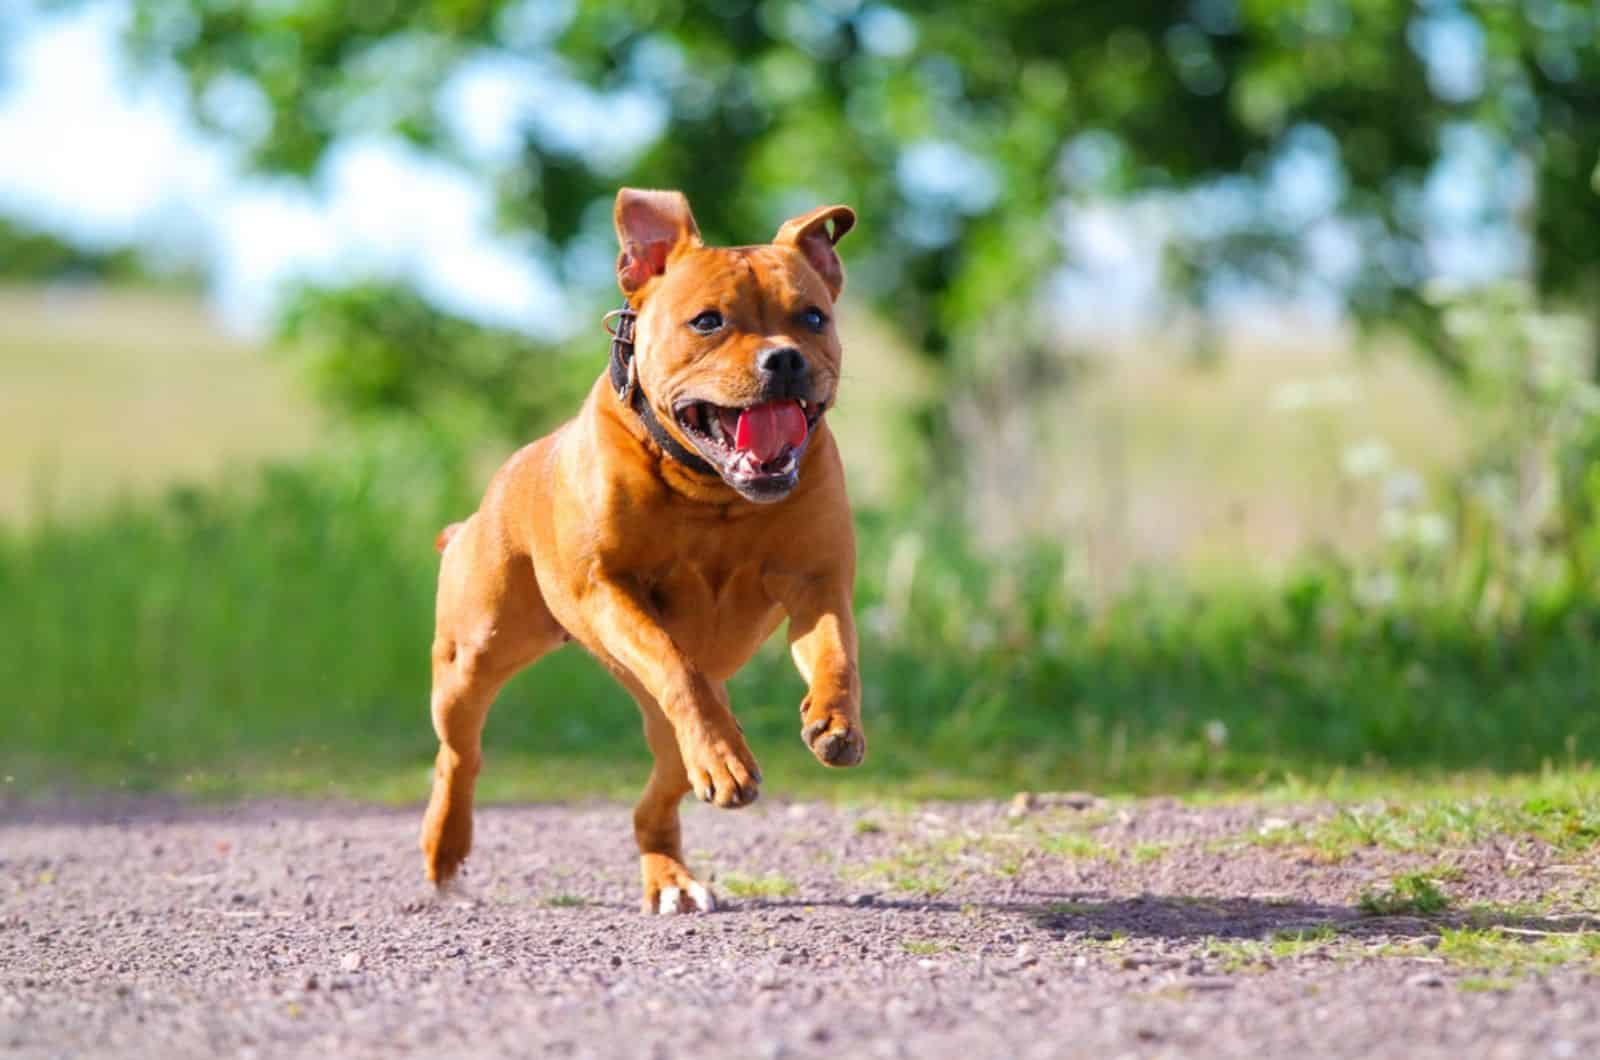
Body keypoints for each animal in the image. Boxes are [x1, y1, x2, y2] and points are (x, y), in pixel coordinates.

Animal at [412, 184, 864, 915]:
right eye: (707, 322)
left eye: (813, 318)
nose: (785, 358)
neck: (713, 490)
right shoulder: (607, 589)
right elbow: (675, 663)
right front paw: (729, 756)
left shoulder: (817, 583)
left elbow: (837, 654)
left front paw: (835, 720)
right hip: (471, 658)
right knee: (461, 754)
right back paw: (444, 845)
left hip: (661, 730)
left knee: (660, 792)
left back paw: (672, 876)